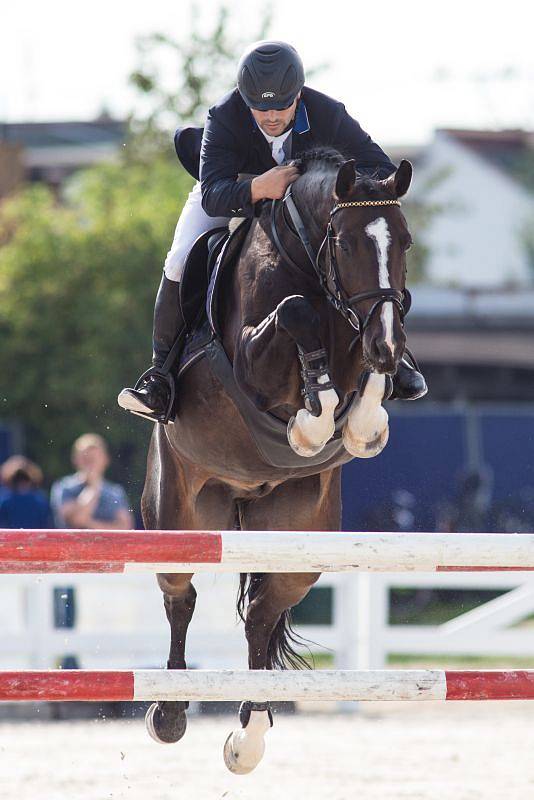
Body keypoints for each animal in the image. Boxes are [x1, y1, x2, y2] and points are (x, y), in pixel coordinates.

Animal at [141, 147, 414, 772]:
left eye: (406, 243)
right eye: (346, 243)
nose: (390, 346)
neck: (305, 260)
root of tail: (246, 496)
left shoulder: (359, 334)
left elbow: (358, 372)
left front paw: (360, 423)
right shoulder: (252, 359)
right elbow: (295, 314)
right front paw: (312, 424)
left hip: (297, 539)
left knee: (263, 615)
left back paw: (250, 733)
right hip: (181, 515)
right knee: (180, 596)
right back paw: (170, 713)